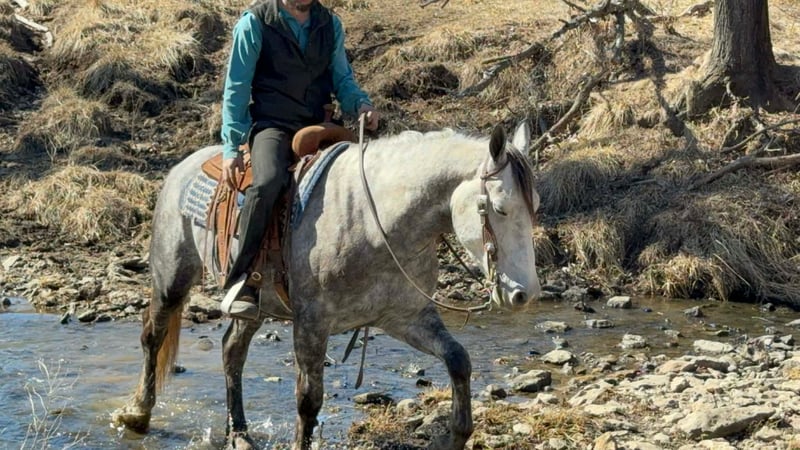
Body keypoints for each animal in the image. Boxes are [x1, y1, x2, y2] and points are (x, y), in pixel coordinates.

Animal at [112, 122, 541, 450]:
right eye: (500, 208)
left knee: (232, 351)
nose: (525, 295)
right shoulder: (312, 323)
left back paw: (240, 435)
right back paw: (138, 413)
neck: (375, 221)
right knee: (154, 335)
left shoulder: (406, 318)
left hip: (255, 304)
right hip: (172, 275)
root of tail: (183, 166)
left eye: (534, 206)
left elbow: (458, 359)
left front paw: (456, 434)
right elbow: (308, 401)